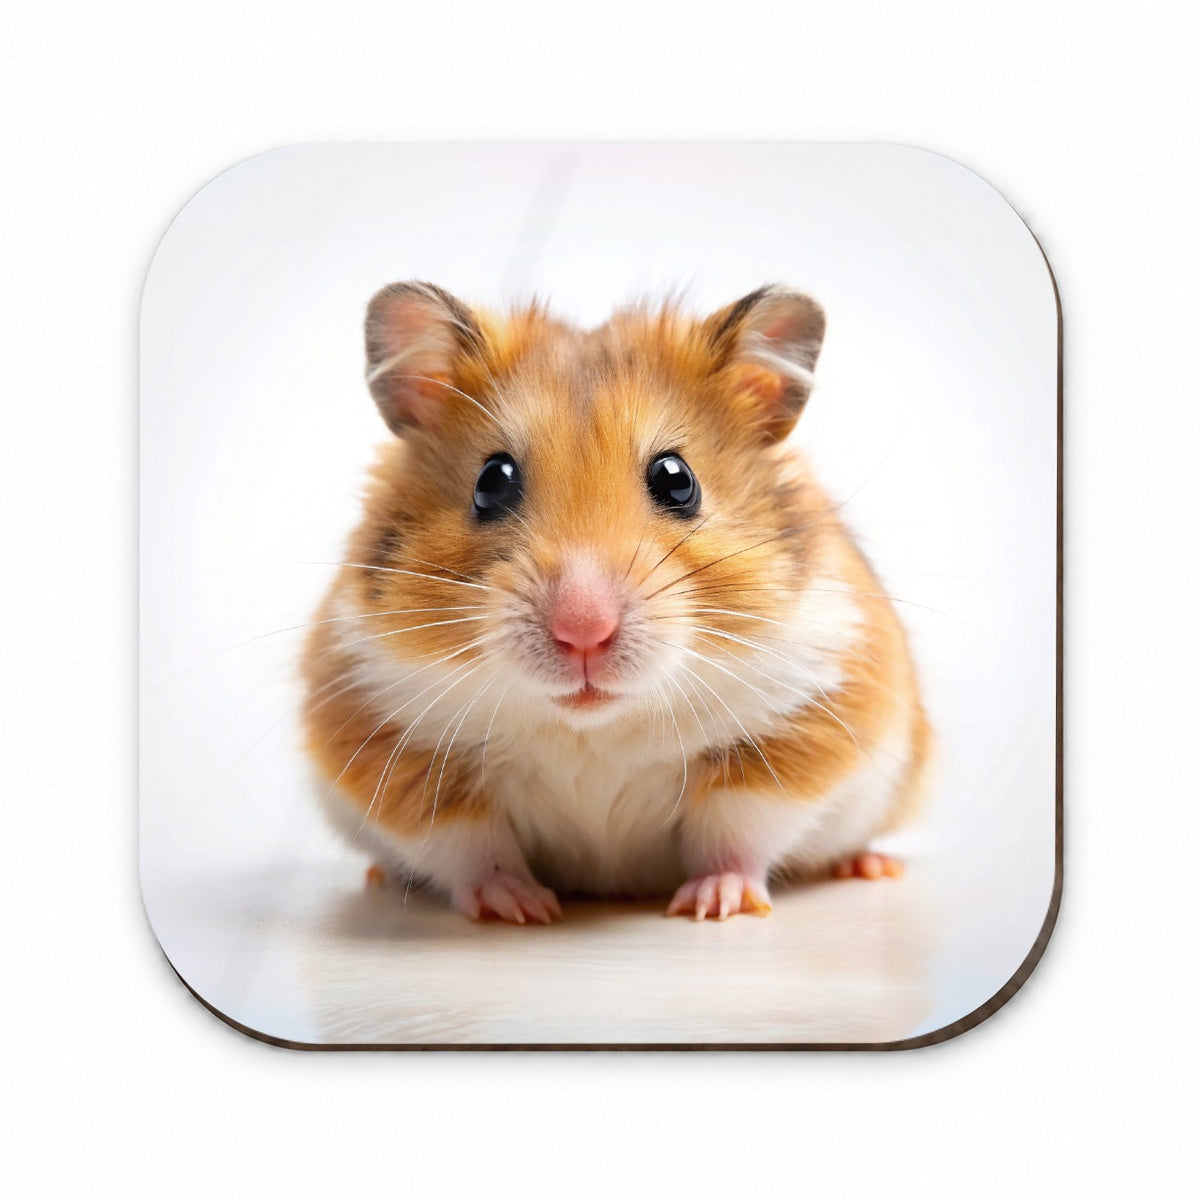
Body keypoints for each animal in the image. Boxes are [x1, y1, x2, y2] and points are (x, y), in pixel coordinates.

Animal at [301, 281, 931, 923]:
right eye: (491, 482)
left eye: (678, 480)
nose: (584, 632)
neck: (595, 725)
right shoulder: (391, 741)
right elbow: (471, 846)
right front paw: (520, 909)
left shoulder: (798, 727)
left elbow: (735, 830)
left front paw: (713, 904)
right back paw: (380, 878)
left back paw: (871, 866)